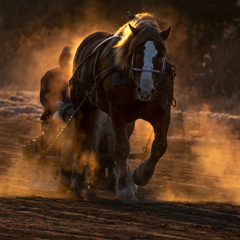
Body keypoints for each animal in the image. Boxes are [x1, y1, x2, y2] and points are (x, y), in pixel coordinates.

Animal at [69, 12, 174, 201]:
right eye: (137, 51)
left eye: (160, 54)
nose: (146, 89)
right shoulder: (117, 111)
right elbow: (121, 148)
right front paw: (125, 188)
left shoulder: (163, 111)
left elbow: (160, 145)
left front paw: (140, 175)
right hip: (82, 106)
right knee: (81, 140)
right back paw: (79, 181)